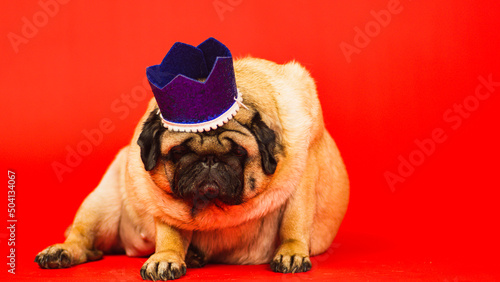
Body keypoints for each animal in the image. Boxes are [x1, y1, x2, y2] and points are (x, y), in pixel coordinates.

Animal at [36, 55, 348, 280]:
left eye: (237, 152)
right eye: (179, 152)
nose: (208, 160)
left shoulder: (301, 182)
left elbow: (293, 223)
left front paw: (292, 252)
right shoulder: (164, 202)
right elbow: (171, 232)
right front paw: (167, 258)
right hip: (102, 201)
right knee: (82, 240)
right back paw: (60, 252)